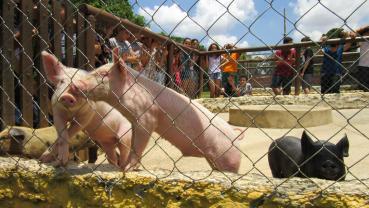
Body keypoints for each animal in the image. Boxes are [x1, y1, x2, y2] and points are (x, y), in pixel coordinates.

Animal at [68, 48, 242, 172]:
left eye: (103, 74)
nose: (74, 85)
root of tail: (236, 135)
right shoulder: (134, 121)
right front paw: (124, 167)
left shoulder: (147, 117)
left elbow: (139, 144)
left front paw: (126, 169)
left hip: (229, 158)